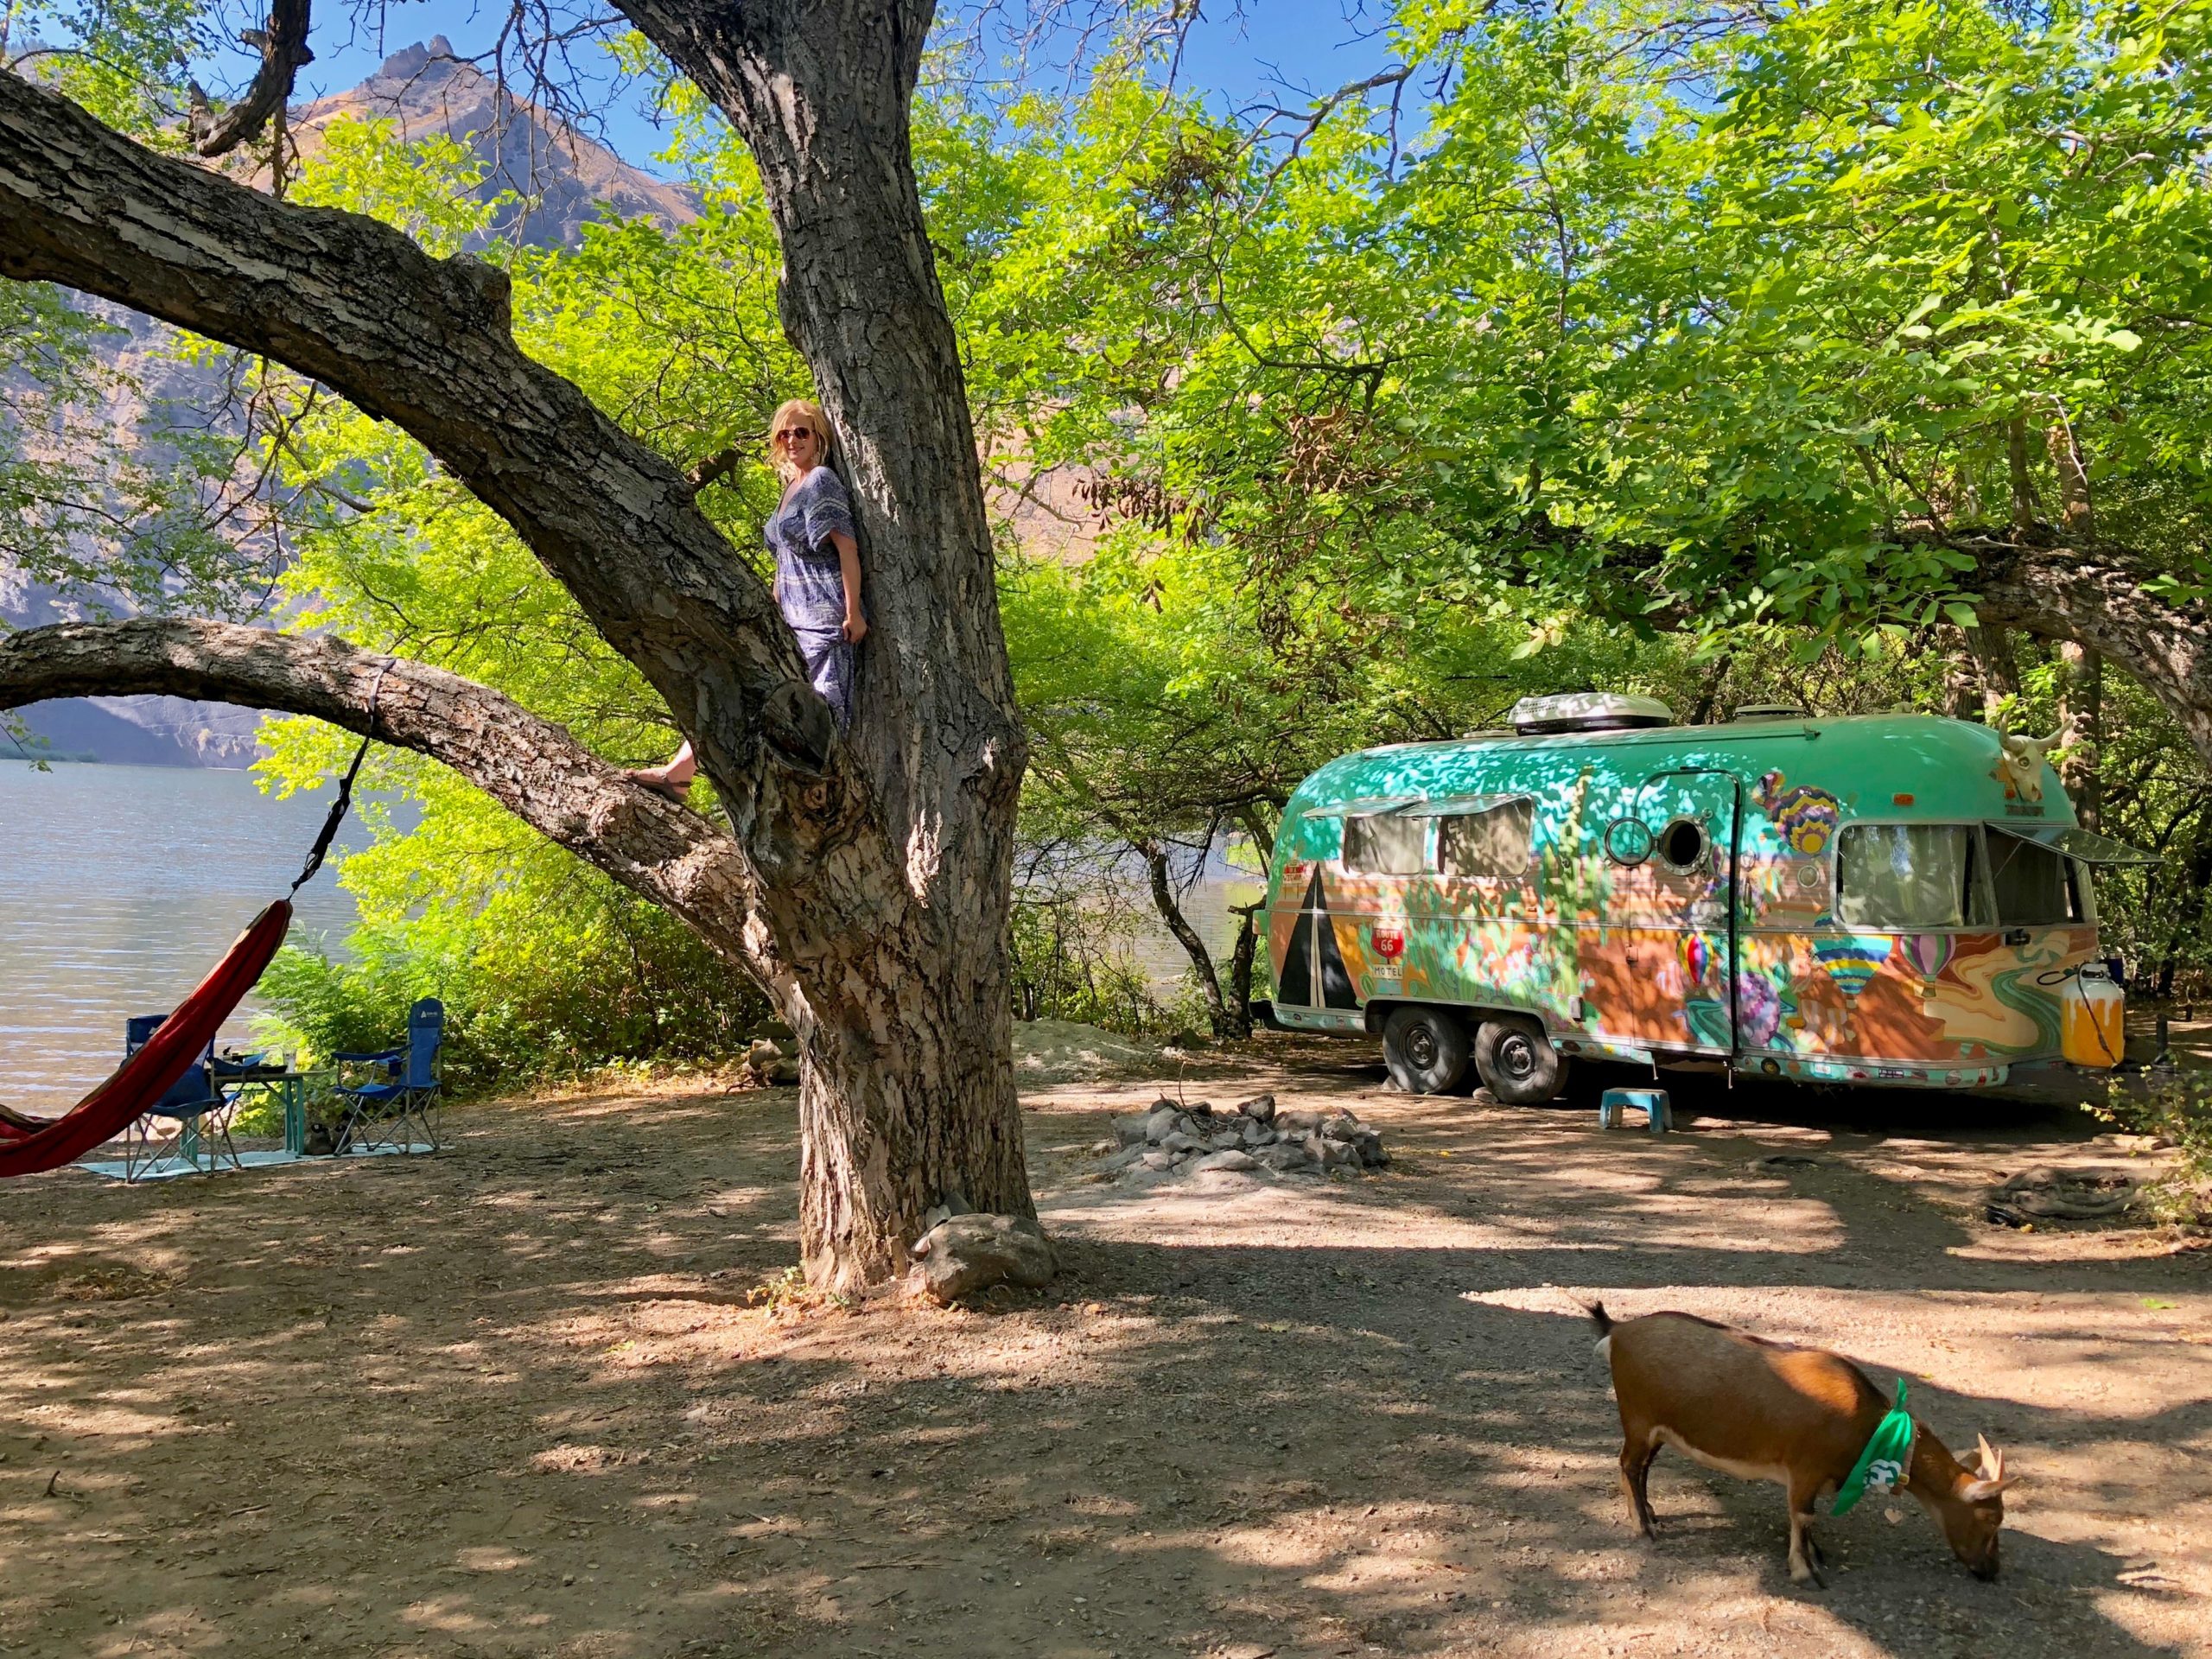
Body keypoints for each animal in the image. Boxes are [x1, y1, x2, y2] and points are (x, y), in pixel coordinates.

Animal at [1592, 1309, 2025, 1592]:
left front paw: (1817, 1554)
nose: (1992, 1570)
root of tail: (1617, 1331)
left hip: (1657, 1430)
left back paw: (1650, 1513)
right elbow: (1802, 1516)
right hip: (1638, 1419)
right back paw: (1643, 1527)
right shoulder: (1804, 1470)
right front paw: (1806, 1572)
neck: (1870, 1425)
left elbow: (1809, 1519)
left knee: (1642, 1467)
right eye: (1991, 1519)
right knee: (1628, 1464)